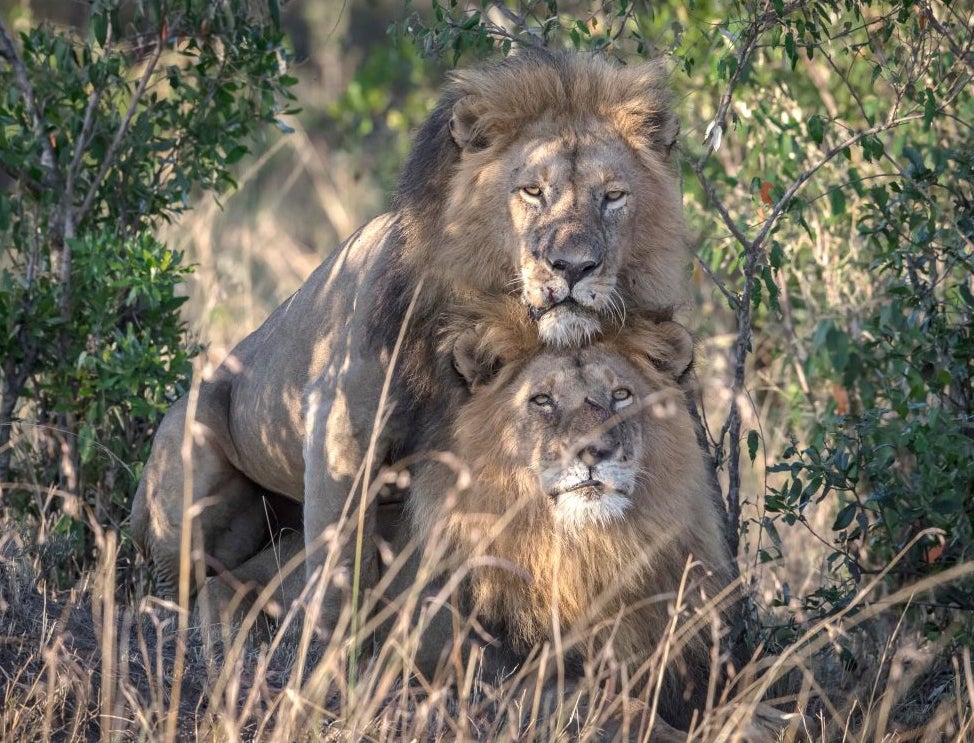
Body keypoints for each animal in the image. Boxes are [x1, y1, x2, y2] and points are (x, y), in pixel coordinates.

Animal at [133, 49, 692, 632]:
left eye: (613, 197)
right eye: (533, 192)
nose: (574, 266)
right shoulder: (339, 429)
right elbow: (337, 571)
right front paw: (329, 654)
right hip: (189, 463)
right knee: (181, 587)